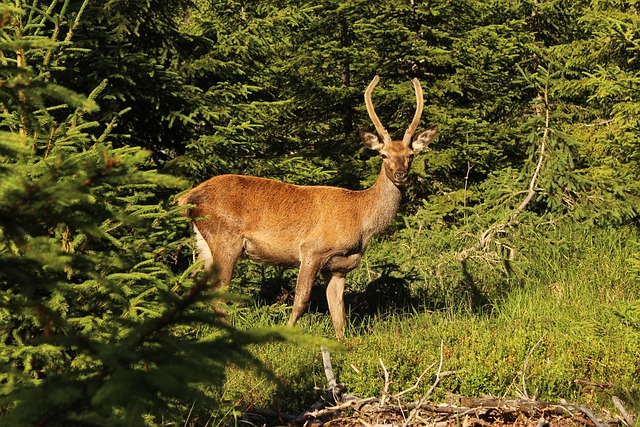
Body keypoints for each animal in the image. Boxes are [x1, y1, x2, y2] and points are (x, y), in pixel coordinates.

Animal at [180, 75, 440, 340]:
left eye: (411, 154)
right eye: (383, 155)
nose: (401, 175)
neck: (362, 221)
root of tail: (188, 197)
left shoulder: (339, 267)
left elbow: (338, 312)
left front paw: (342, 342)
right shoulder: (313, 249)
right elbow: (301, 299)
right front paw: (286, 334)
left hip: (204, 244)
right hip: (226, 240)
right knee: (218, 295)